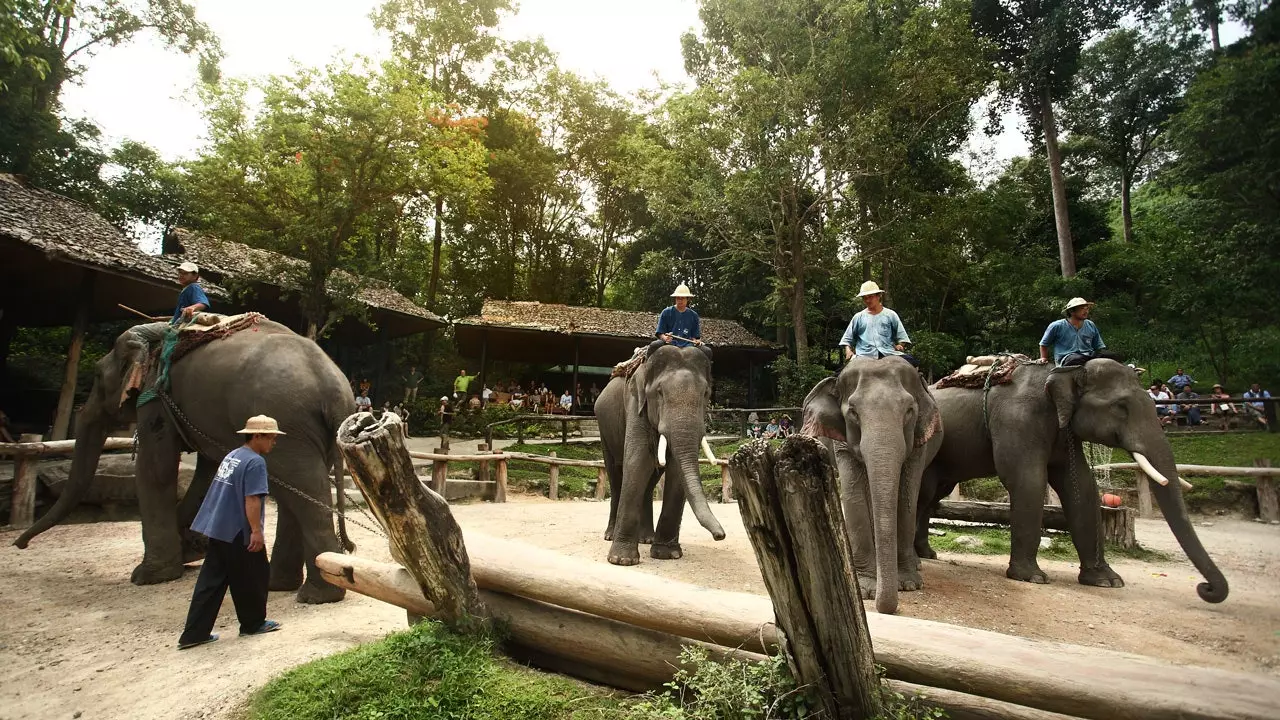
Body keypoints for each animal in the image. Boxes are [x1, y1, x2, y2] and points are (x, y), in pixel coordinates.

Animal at [16, 316, 355, 602]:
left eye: (99, 377)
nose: (20, 545)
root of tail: (335, 388)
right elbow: (209, 469)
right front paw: (190, 552)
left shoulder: (156, 398)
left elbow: (157, 468)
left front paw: (148, 576)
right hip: (300, 432)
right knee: (291, 490)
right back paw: (281, 586)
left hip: (285, 423)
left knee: (300, 491)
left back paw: (316, 595)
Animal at [593, 343, 727, 566]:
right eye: (659, 393)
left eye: (706, 394)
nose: (720, 535)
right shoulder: (636, 405)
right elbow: (637, 462)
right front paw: (621, 560)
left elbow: (675, 472)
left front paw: (667, 555)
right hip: (604, 429)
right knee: (615, 474)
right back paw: (610, 536)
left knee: (650, 482)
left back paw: (646, 539)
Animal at [803, 353, 947, 609]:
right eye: (853, 412)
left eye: (909, 410)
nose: (887, 609)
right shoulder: (842, 442)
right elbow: (854, 493)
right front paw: (866, 588)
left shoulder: (918, 443)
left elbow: (908, 496)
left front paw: (909, 584)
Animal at [916, 356, 1223, 599]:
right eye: (1120, 407)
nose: (1205, 588)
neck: (1064, 370)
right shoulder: (1018, 420)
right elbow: (1027, 481)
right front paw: (1032, 578)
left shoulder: (1064, 433)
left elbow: (1083, 488)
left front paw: (1108, 582)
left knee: (930, 497)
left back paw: (926, 555)